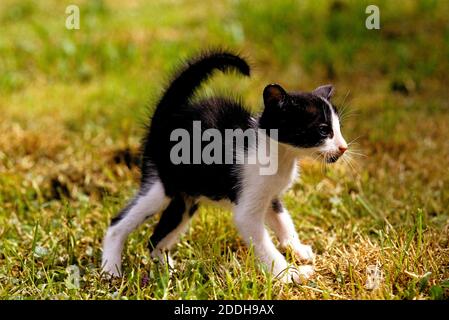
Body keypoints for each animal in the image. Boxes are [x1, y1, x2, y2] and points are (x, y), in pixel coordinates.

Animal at [101, 50, 346, 282]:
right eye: (323, 130)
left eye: (338, 128)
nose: (343, 147)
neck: (281, 155)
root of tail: (166, 117)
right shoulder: (247, 210)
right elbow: (264, 245)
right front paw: (289, 275)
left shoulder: (270, 195)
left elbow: (283, 220)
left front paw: (297, 248)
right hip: (161, 186)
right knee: (117, 224)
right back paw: (111, 270)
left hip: (187, 198)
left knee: (155, 240)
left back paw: (168, 274)